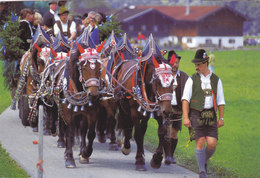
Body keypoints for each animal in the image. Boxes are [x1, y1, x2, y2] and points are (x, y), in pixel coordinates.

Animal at [112, 34, 174, 170]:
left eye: (173, 81)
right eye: (158, 81)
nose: (168, 110)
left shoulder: (159, 110)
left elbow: (161, 132)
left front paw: (157, 159)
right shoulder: (134, 112)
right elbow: (138, 134)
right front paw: (140, 160)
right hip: (122, 104)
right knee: (126, 122)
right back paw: (126, 145)